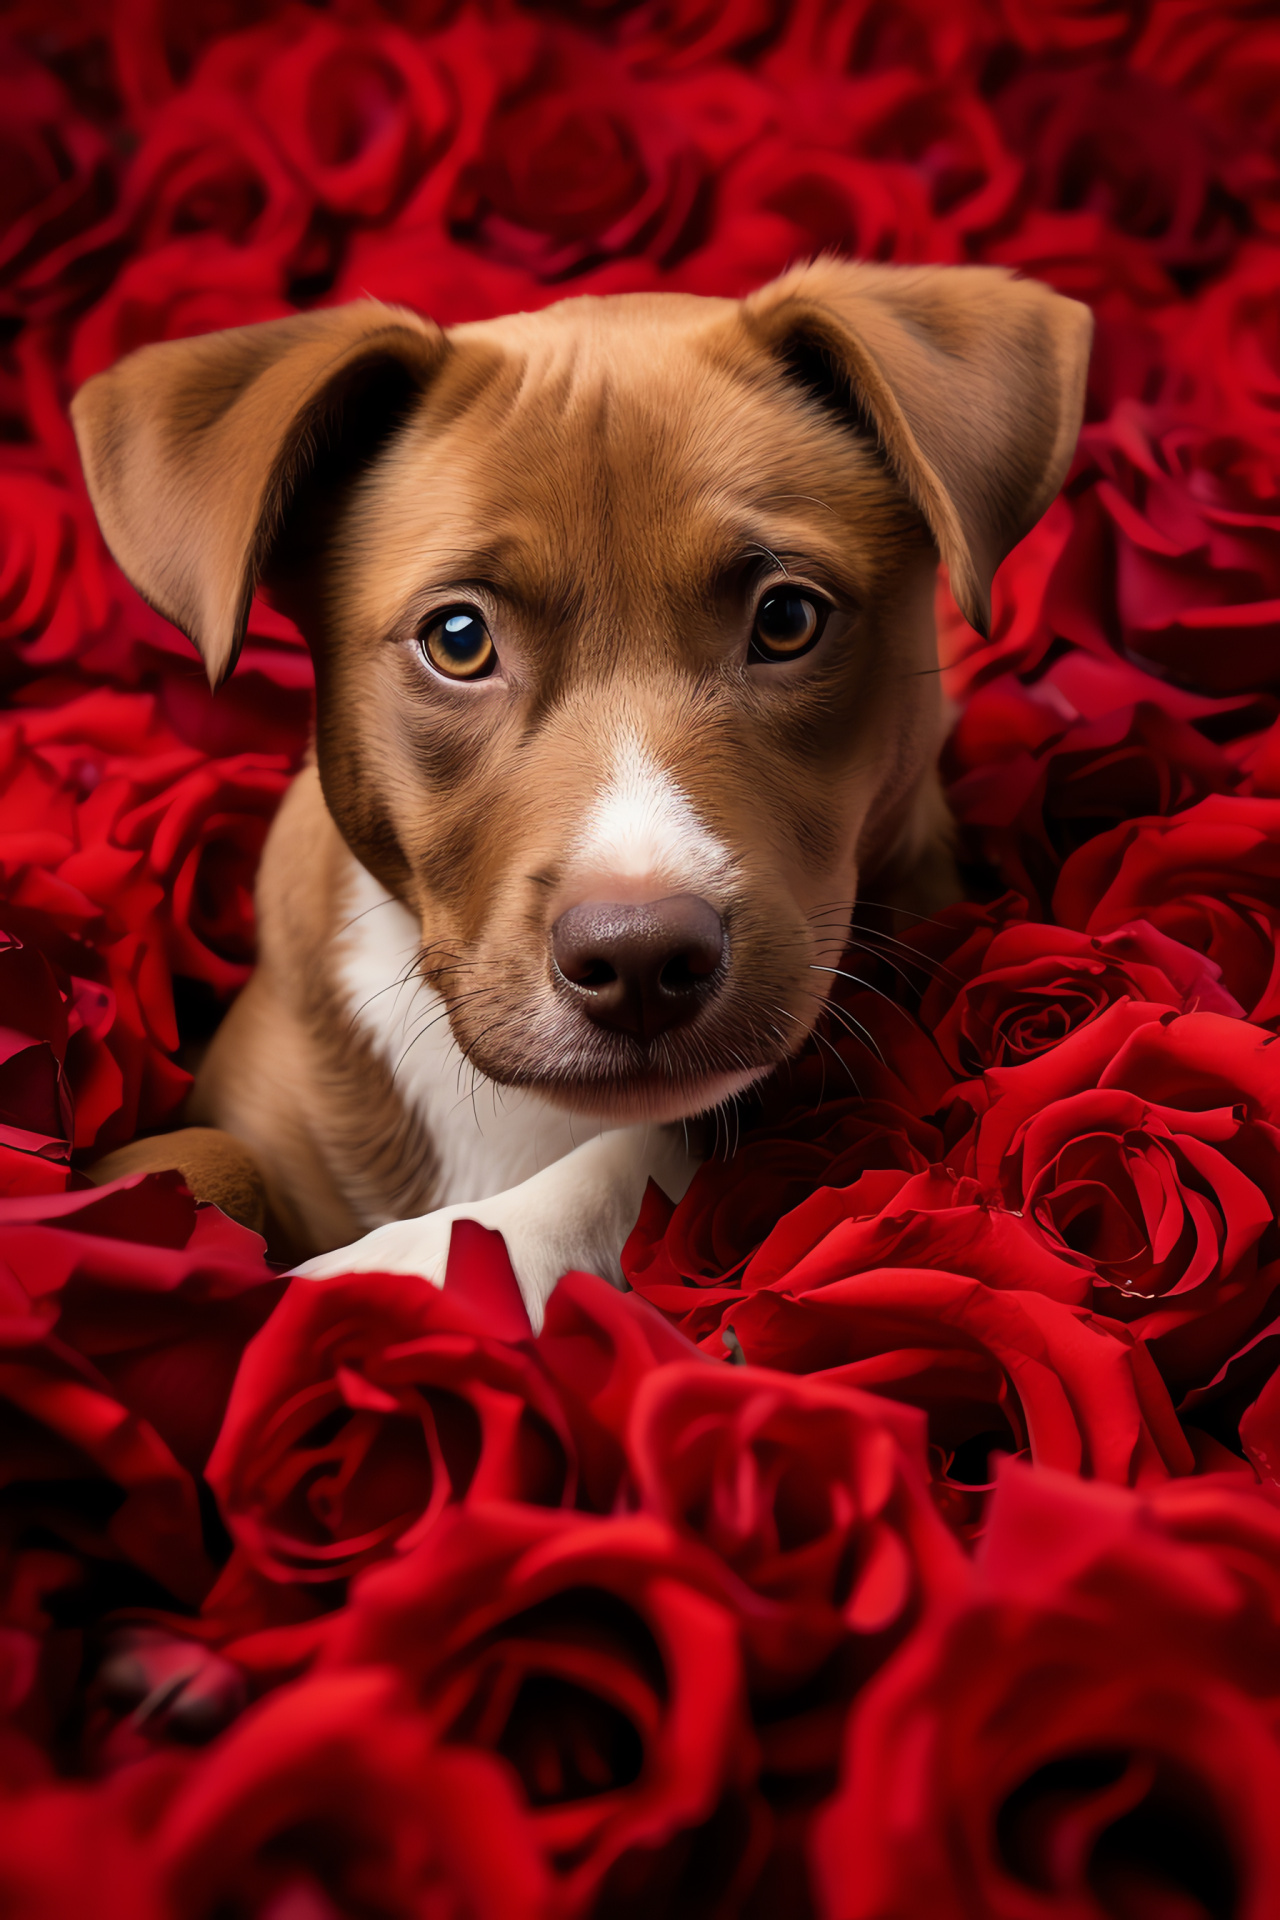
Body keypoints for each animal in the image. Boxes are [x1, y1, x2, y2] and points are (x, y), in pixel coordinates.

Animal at [70, 259, 1090, 1320]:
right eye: (458, 640)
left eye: (788, 619)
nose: (640, 955)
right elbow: (197, 1157)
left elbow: (642, 1155)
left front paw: (401, 1269)